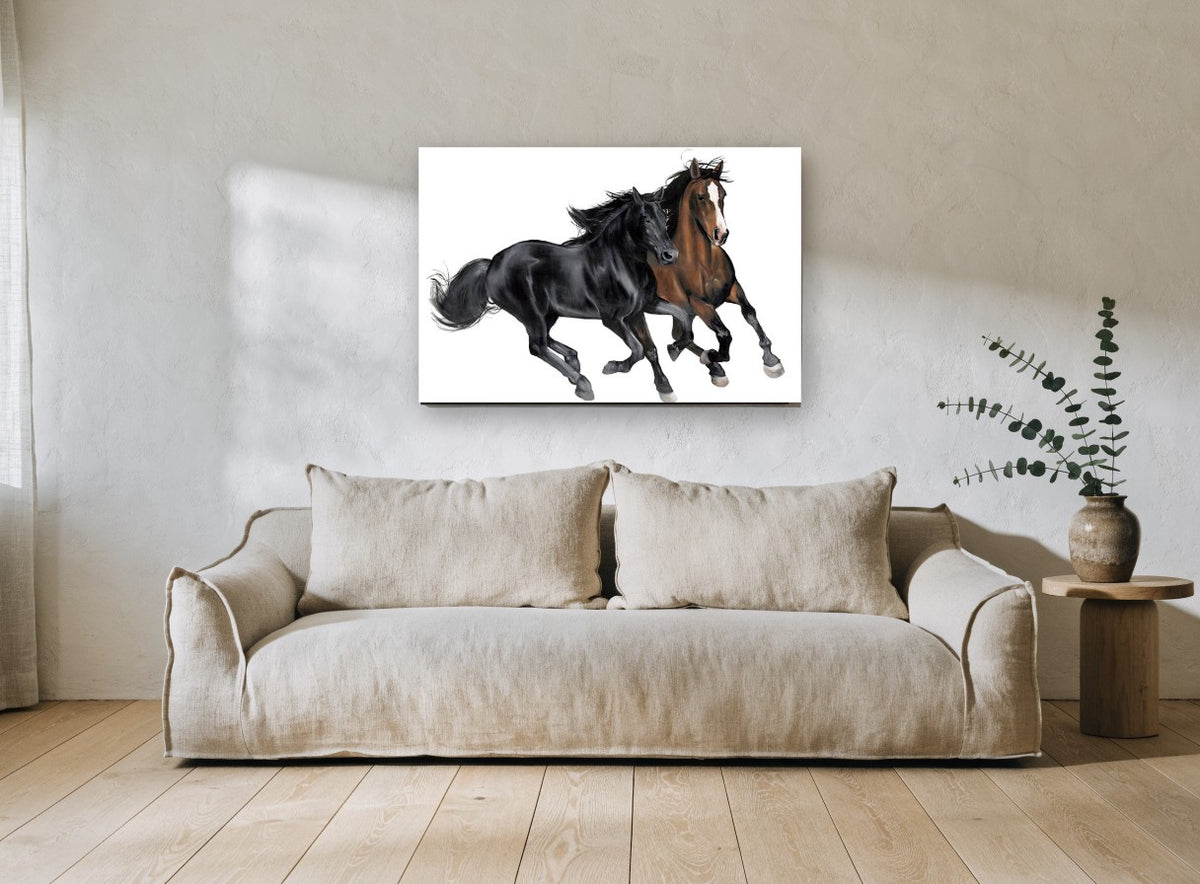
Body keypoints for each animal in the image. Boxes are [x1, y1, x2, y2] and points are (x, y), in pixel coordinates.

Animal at [430, 188, 691, 402]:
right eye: (645, 219)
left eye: (664, 217)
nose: (670, 255)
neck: (619, 263)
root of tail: (493, 263)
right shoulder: (613, 319)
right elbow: (637, 349)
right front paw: (613, 367)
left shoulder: (643, 308)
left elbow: (671, 327)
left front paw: (669, 374)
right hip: (530, 313)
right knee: (537, 346)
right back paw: (582, 383)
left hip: (548, 313)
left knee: (544, 340)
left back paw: (573, 360)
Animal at [654, 158, 784, 385]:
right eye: (700, 197)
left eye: (723, 195)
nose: (721, 234)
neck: (703, 263)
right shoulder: (700, 304)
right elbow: (725, 334)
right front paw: (712, 355)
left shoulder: (733, 289)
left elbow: (750, 314)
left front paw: (771, 360)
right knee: (681, 337)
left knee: (679, 335)